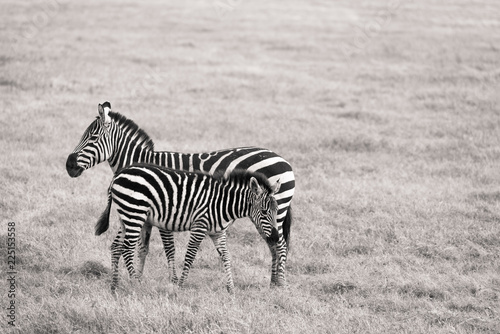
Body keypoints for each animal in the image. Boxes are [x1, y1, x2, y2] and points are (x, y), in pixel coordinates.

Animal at [94, 164, 282, 292]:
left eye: (277, 211)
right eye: (264, 212)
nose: (275, 238)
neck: (223, 204)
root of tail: (119, 174)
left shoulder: (218, 232)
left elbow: (226, 257)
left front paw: (231, 288)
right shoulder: (199, 226)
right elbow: (190, 256)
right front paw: (180, 286)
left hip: (125, 216)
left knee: (116, 247)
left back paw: (114, 285)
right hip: (135, 213)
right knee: (127, 248)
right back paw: (135, 284)